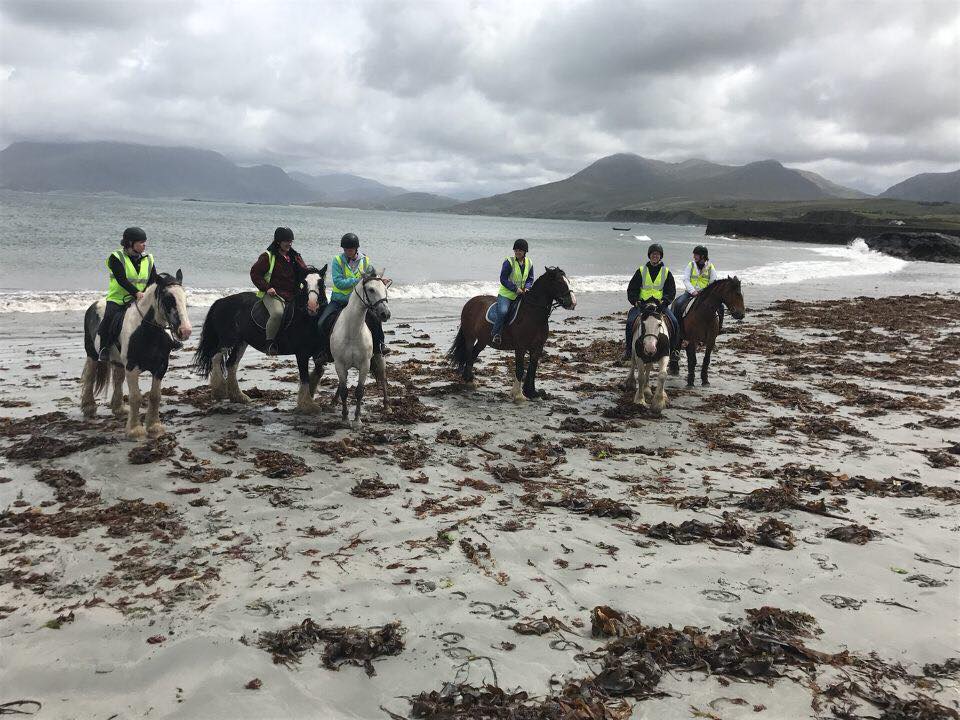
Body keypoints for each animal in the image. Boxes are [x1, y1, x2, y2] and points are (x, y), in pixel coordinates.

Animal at [80, 270, 191, 438]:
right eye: (168, 298)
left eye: (184, 297)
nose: (185, 331)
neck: (147, 331)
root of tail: (94, 305)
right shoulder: (132, 367)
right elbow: (135, 397)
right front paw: (134, 429)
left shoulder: (161, 367)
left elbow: (155, 396)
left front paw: (154, 426)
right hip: (92, 353)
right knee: (90, 376)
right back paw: (89, 407)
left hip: (118, 362)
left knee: (118, 380)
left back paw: (118, 409)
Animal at [191, 264, 330, 414]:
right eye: (303, 284)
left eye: (321, 283)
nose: (312, 306)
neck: (306, 318)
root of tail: (220, 301)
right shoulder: (301, 354)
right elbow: (304, 378)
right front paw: (307, 405)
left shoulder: (317, 353)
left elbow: (318, 372)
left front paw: (309, 398)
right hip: (228, 339)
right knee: (216, 357)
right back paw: (220, 391)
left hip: (241, 342)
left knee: (231, 364)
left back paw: (238, 396)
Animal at [330, 272, 390, 428]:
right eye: (371, 289)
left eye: (385, 289)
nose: (385, 314)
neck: (352, 332)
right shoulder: (339, 364)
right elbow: (344, 391)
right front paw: (345, 418)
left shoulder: (364, 365)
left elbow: (359, 392)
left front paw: (357, 420)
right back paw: (334, 401)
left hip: (379, 357)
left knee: (383, 378)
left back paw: (387, 405)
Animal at [446, 266, 572, 402]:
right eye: (559, 282)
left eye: (568, 281)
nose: (572, 302)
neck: (532, 314)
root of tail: (470, 302)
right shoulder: (520, 347)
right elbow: (520, 369)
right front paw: (518, 394)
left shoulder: (538, 347)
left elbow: (533, 369)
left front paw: (531, 392)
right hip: (470, 337)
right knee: (469, 354)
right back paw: (468, 380)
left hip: (482, 340)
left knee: (473, 355)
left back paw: (470, 380)